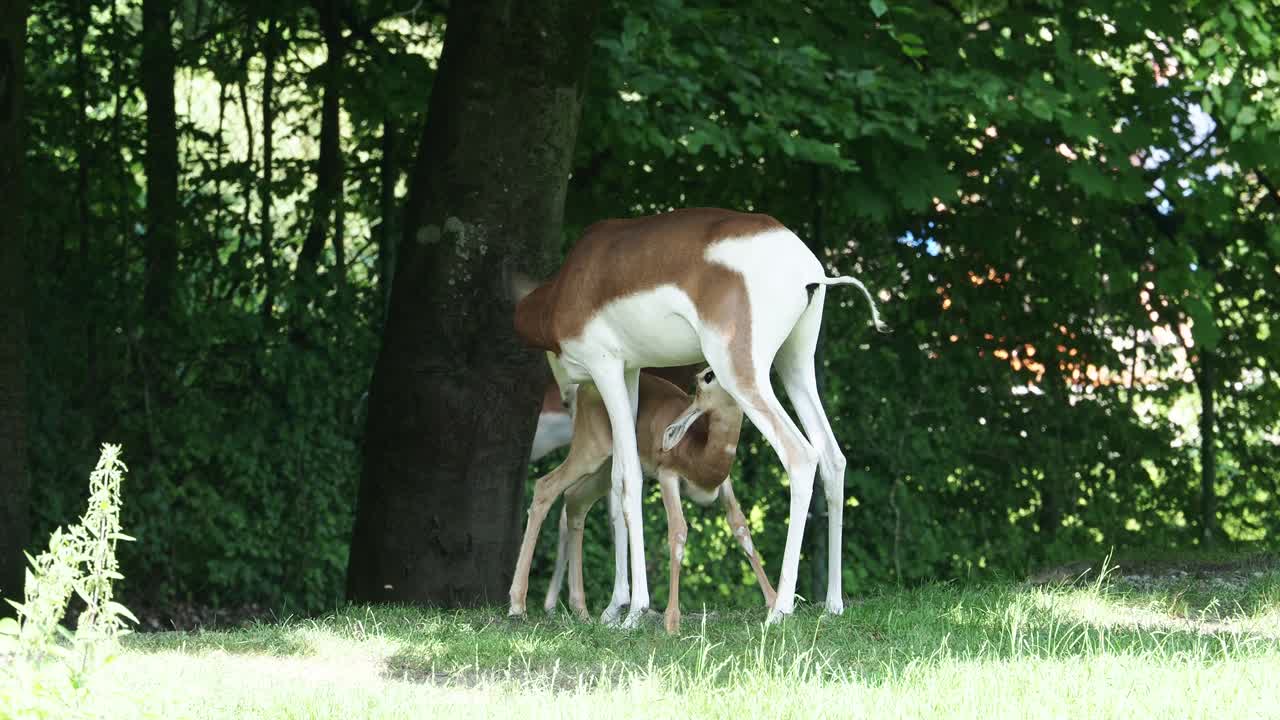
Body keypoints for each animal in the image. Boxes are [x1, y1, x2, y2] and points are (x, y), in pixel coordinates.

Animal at [506, 366, 768, 630]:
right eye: (707, 376)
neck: (701, 453)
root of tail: (585, 387)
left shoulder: (725, 484)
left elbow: (742, 530)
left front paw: (772, 603)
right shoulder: (667, 476)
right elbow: (678, 531)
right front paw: (671, 620)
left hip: (604, 469)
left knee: (574, 500)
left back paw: (581, 610)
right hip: (589, 453)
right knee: (545, 487)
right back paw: (518, 606)